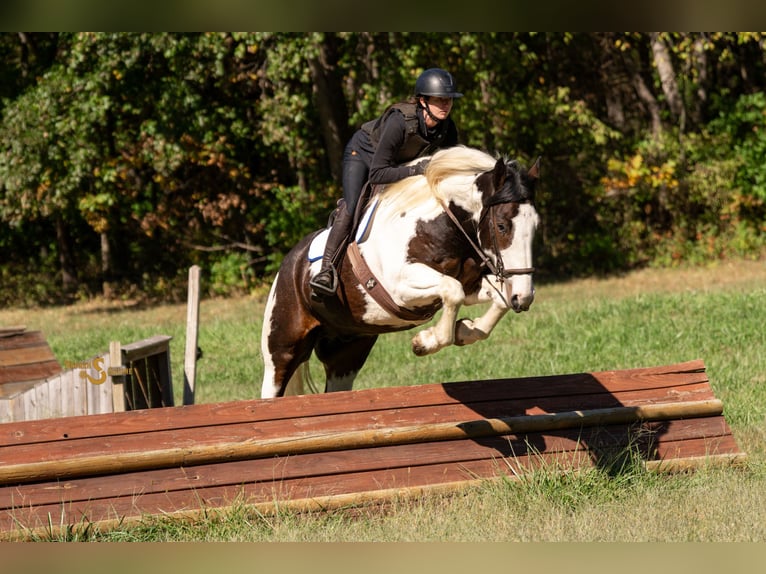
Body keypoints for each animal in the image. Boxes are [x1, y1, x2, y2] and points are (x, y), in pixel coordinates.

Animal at [260, 145, 540, 398]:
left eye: (535, 226)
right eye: (502, 226)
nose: (524, 298)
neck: (440, 227)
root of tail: (289, 263)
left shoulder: (471, 284)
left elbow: (496, 298)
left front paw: (466, 331)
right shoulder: (400, 287)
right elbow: (452, 290)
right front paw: (425, 342)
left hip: (347, 352)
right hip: (282, 350)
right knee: (272, 385)